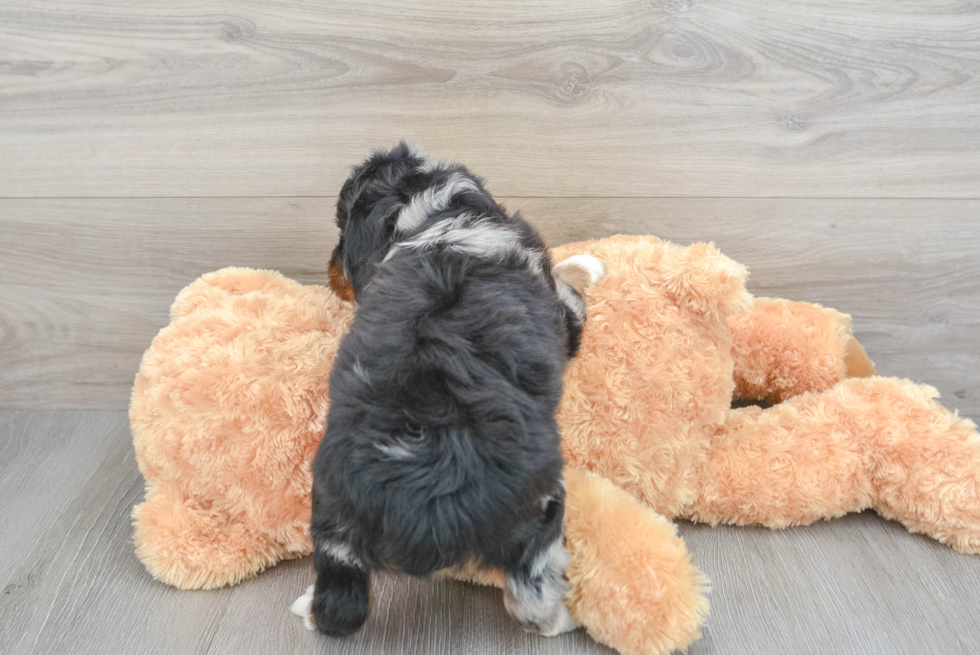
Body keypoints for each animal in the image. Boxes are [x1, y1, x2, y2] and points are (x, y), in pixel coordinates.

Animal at [290, 144, 600, 640]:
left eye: (341, 230)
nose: (332, 271)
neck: (431, 213)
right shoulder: (560, 303)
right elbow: (572, 290)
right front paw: (588, 265)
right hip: (537, 509)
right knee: (531, 597)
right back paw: (563, 618)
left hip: (331, 514)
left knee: (340, 604)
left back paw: (308, 609)